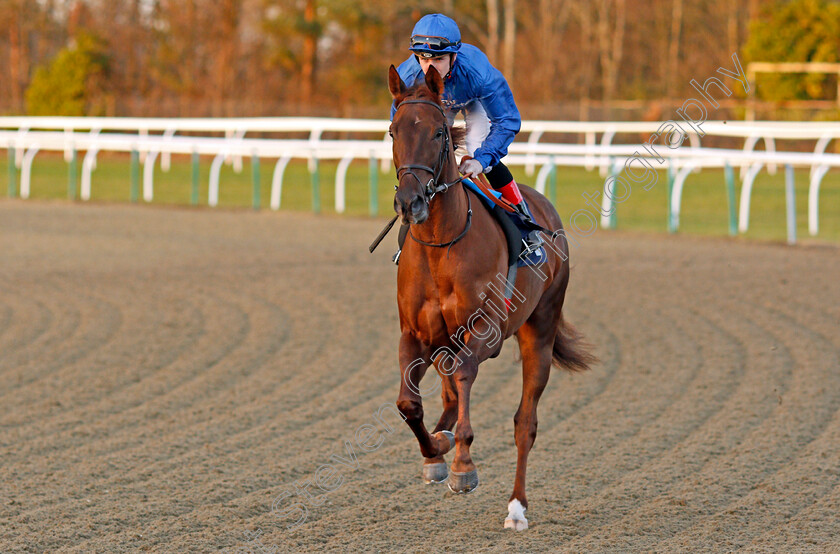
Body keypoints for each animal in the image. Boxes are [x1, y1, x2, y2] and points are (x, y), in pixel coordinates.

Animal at [388, 66, 592, 532]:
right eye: (393, 131)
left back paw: (516, 508)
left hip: (540, 330)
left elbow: (465, 382)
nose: (410, 203)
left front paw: (463, 465)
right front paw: (436, 452)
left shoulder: (484, 331)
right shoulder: (414, 333)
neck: (440, 244)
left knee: (525, 423)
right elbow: (409, 403)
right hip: (444, 343)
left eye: (439, 133)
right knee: (447, 399)